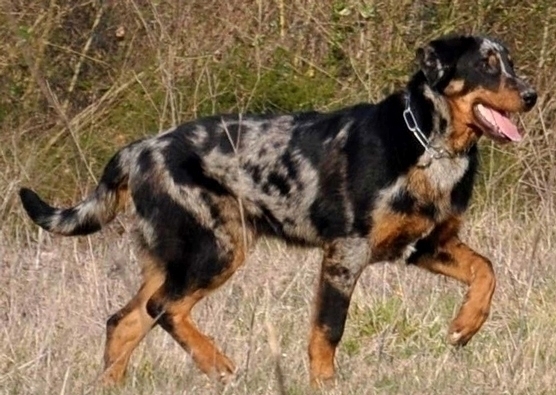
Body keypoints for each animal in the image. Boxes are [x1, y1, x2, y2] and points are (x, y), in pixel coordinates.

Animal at [19, 34, 536, 386]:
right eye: (487, 65)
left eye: (509, 62)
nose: (531, 94)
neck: (431, 145)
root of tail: (138, 149)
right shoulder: (345, 253)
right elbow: (327, 332)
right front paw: (326, 386)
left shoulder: (428, 244)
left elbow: (486, 271)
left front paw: (466, 326)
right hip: (216, 248)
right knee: (162, 308)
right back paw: (218, 364)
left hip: (176, 257)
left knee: (125, 321)